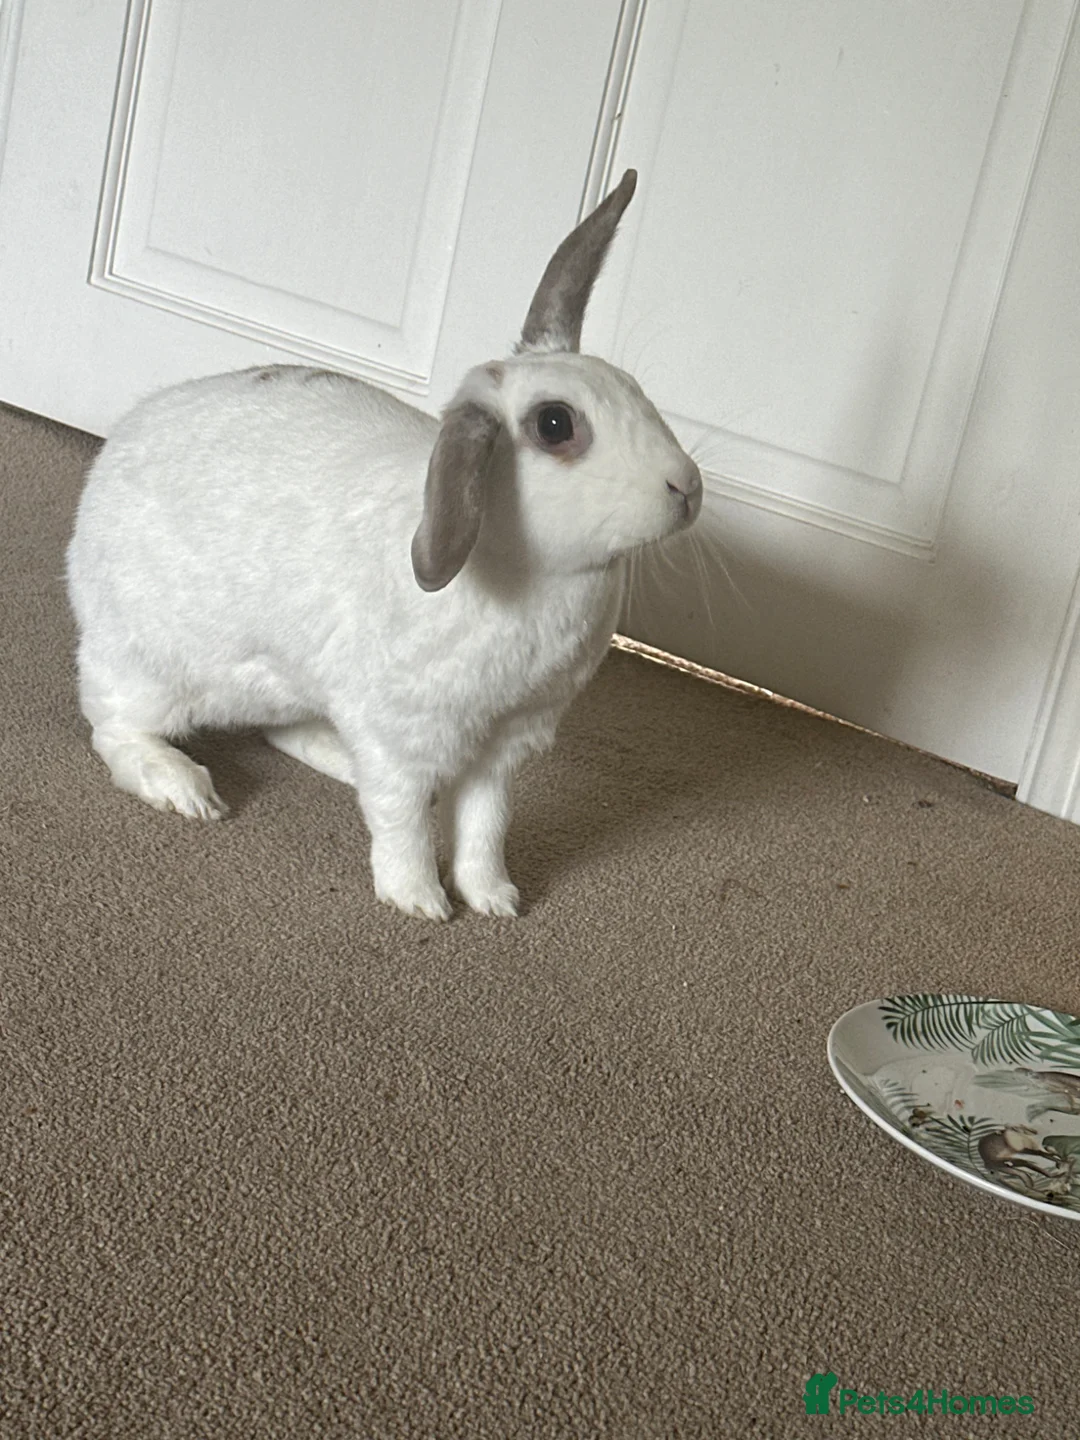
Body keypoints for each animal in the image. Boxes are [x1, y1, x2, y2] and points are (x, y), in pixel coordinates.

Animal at [66, 169, 702, 920]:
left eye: (634, 389)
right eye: (554, 424)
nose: (688, 488)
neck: (532, 569)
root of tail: (120, 444)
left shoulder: (504, 745)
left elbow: (485, 824)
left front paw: (496, 900)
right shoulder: (403, 734)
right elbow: (401, 818)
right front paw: (419, 901)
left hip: (289, 685)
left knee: (281, 729)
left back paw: (337, 762)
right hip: (151, 667)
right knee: (112, 724)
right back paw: (184, 788)